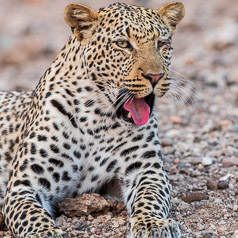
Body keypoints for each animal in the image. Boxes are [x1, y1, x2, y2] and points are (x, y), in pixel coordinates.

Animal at [0, 2, 185, 238]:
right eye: (123, 44)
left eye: (162, 43)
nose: (155, 76)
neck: (98, 118)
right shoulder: (24, 183)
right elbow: (31, 214)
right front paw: (46, 232)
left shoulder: (146, 169)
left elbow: (150, 197)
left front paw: (153, 224)